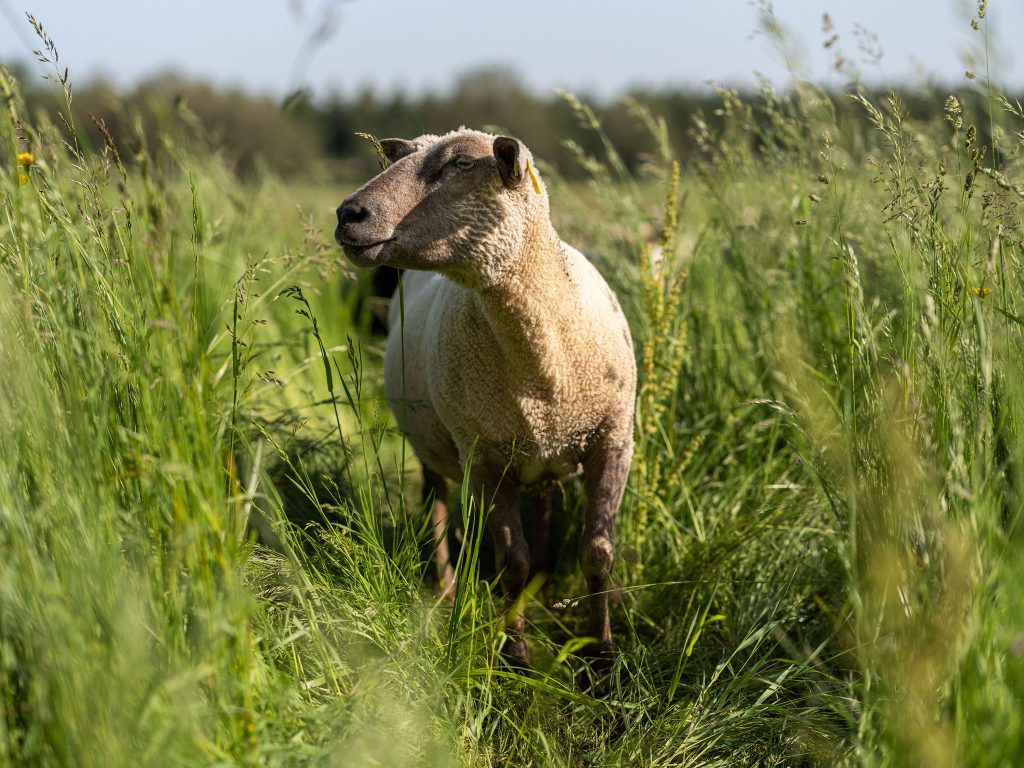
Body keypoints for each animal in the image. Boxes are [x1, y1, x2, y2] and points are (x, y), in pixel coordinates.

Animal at [334, 128, 636, 668]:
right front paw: (515, 650)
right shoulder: (485, 460)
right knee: (435, 505)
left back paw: (542, 579)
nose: (348, 213)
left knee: (543, 501)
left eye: (458, 164)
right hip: (434, 441)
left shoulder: (614, 439)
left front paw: (602, 654)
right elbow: (510, 560)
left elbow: (597, 552)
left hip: (537, 451)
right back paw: (446, 589)